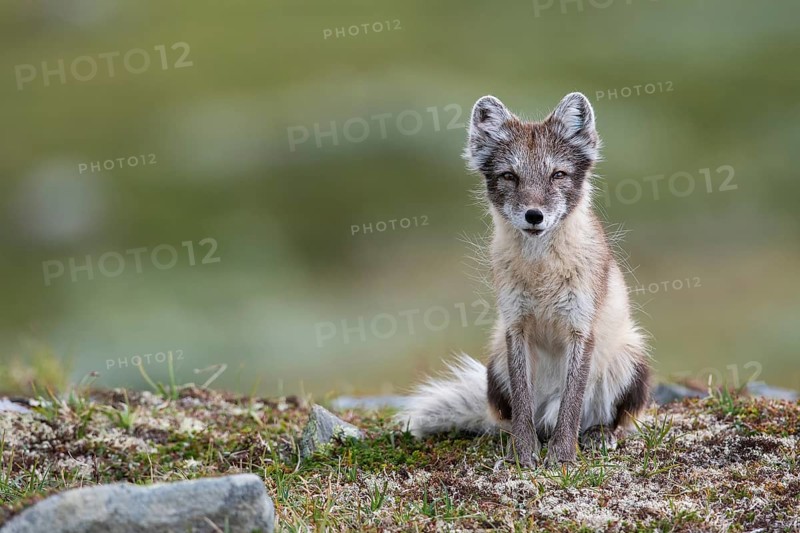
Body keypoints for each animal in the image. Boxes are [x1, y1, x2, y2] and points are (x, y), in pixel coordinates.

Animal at [396, 92, 651, 467]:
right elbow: (521, 401)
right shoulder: (515, 326)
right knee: (511, 416)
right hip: (495, 363)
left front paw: (561, 457)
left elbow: (572, 403)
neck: (541, 271)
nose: (534, 215)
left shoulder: (581, 328)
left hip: (630, 358)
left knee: (608, 417)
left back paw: (598, 434)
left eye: (558, 174)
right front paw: (524, 453)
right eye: (509, 176)